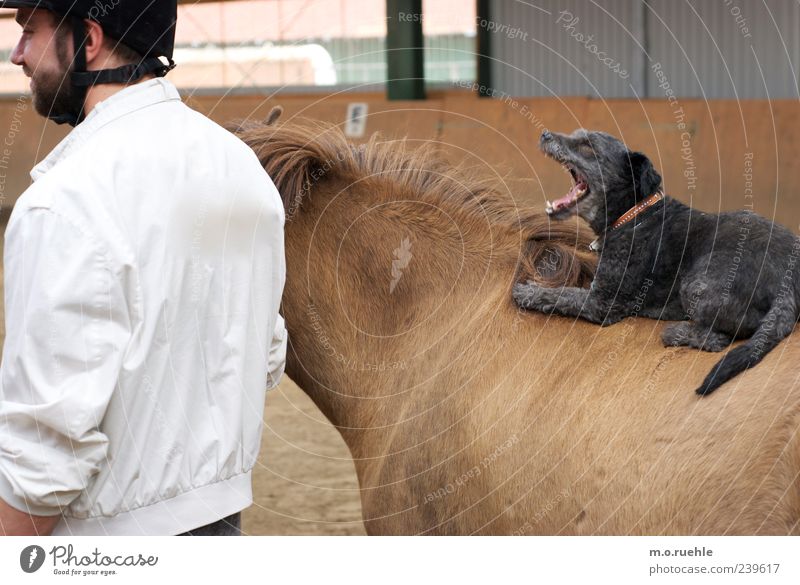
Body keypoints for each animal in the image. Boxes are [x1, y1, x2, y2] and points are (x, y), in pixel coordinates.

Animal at [512, 129, 800, 394]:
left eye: (588, 146)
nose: (545, 134)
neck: (634, 215)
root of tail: (790, 281)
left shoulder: (602, 303)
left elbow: (562, 295)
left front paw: (527, 292)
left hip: (698, 281)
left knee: (722, 337)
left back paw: (678, 332)